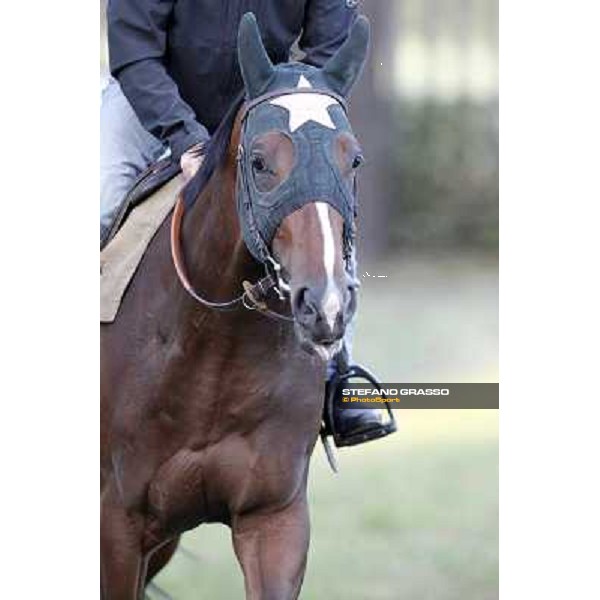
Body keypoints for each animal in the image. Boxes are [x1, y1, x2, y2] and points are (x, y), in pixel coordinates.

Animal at [101, 14, 370, 600]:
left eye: (353, 158)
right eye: (261, 161)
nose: (325, 303)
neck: (213, 349)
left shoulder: (274, 519)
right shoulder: (117, 526)